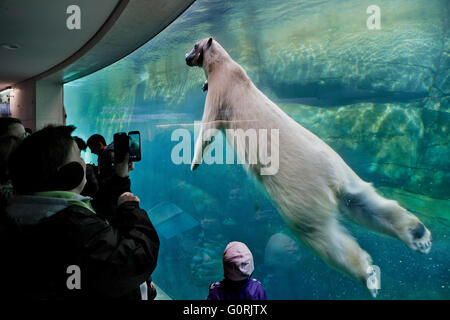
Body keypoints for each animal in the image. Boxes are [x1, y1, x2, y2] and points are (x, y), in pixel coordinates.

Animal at [185, 38, 432, 298]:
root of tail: (331, 182)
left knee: (320, 236)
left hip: (301, 194)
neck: (227, 66)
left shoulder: (223, 89)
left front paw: (194, 162)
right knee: (366, 203)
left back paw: (369, 276)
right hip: (345, 172)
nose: (186, 58)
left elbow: (208, 125)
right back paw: (420, 235)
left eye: (194, 46)